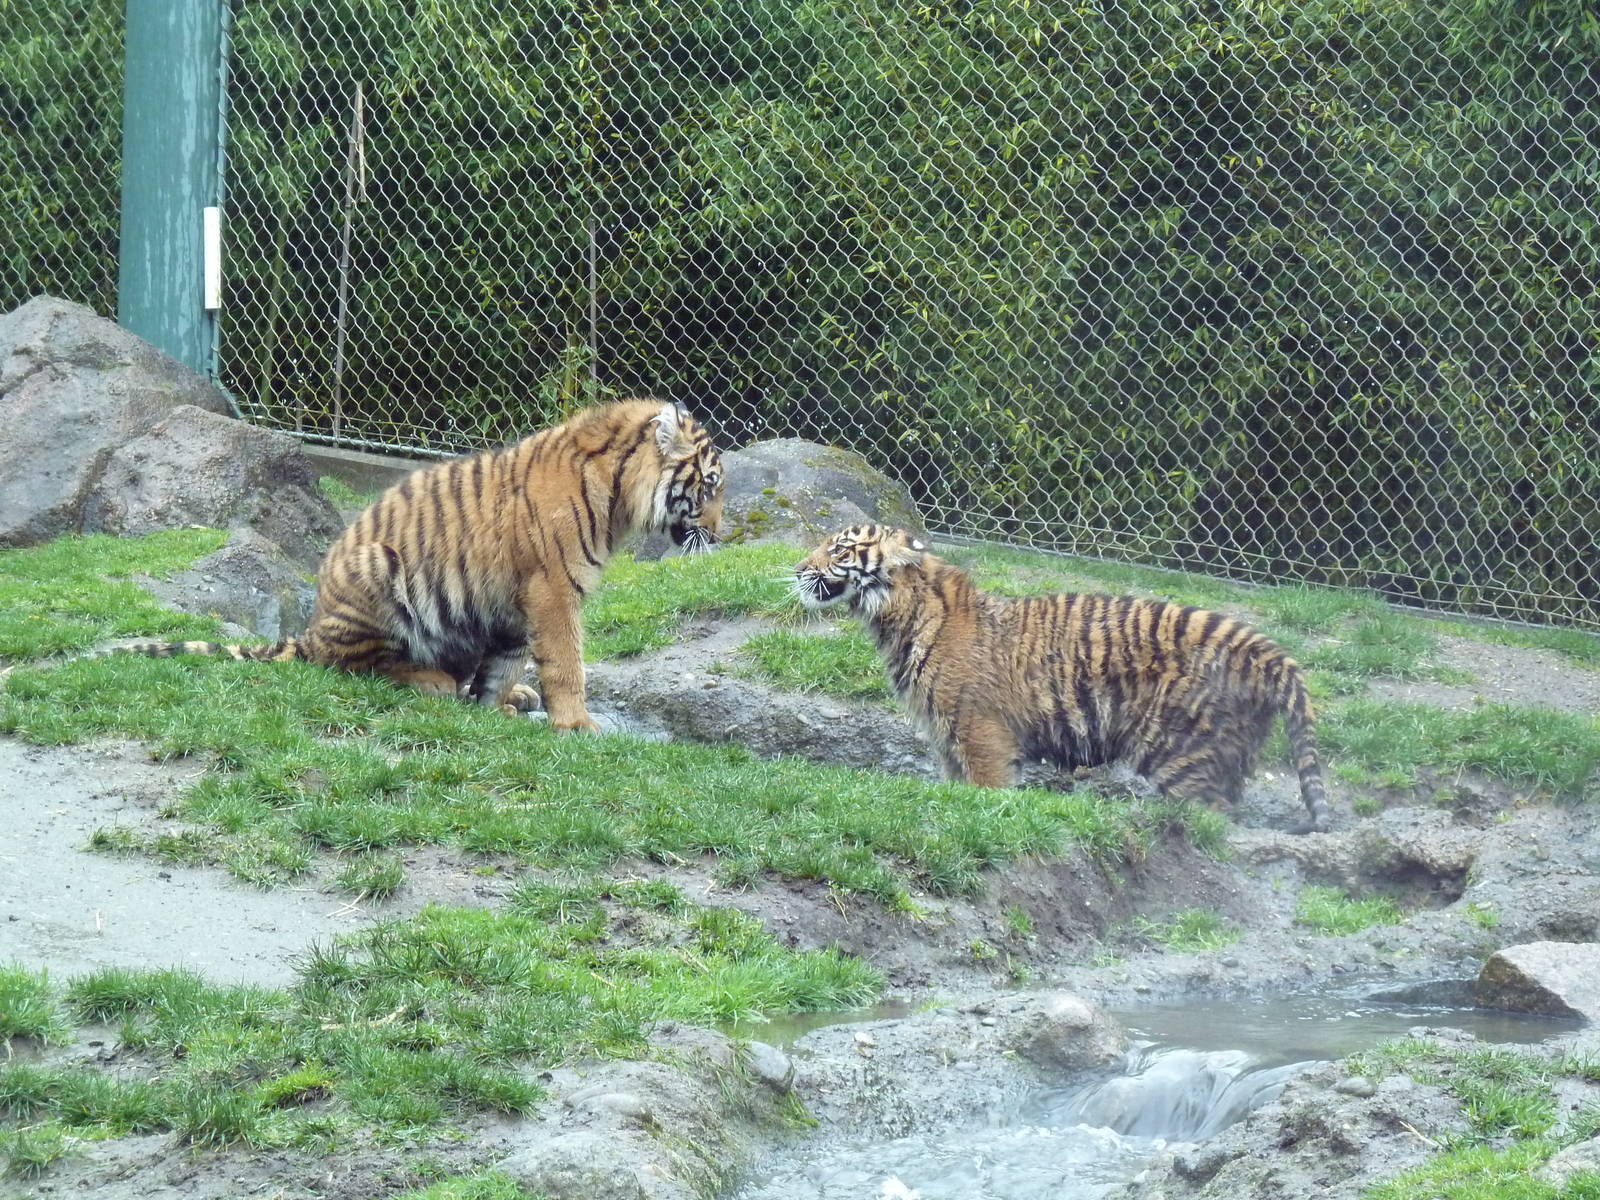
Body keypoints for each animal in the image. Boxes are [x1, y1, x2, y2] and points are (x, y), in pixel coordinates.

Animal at [117, 400, 725, 733]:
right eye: (710, 485)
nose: (720, 536)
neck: (621, 497)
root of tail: (309, 630)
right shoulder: (552, 589)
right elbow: (566, 661)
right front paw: (576, 724)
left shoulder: (515, 604)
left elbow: (508, 663)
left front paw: (500, 705)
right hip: (379, 572)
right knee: (357, 667)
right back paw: (430, 681)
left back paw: (508, 696)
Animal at [794, 525, 1332, 833]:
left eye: (838, 549)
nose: (797, 568)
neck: (897, 616)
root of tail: (1263, 647)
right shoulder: (948, 741)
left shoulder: (981, 735)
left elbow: (987, 792)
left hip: (1183, 754)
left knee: (1213, 821)